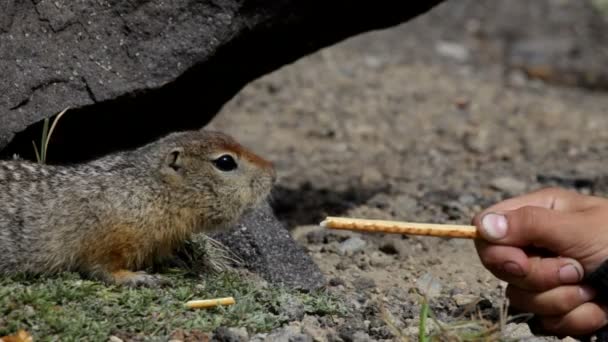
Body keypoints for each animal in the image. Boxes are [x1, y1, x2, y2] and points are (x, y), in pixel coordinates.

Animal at [0, 131, 274, 286]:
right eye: (225, 162)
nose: (273, 172)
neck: (151, 190)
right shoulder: (110, 234)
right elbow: (102, 267)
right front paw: (141, 278)